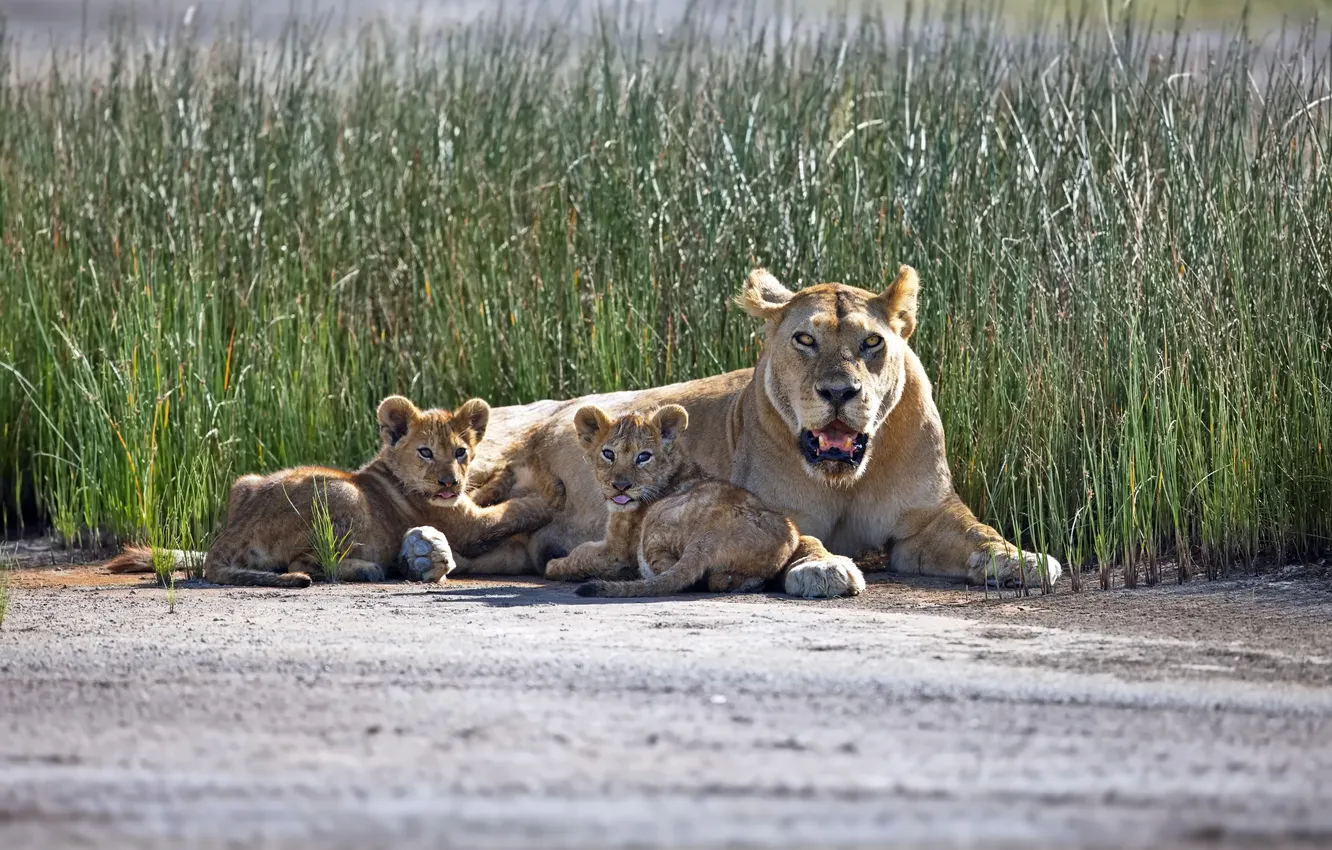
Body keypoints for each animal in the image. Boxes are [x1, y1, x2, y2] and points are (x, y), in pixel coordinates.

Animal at [106, 395, 561, 587]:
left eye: (461, 452)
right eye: (426, 452)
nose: (448, 482)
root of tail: (232, 533)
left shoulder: (465, 504)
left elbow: (490, 492)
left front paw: (503, 473)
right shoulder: (466, 527)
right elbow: (510, 512)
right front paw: (551, 491)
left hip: (245, 482)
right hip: (343, 494)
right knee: (306, 564)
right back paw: (368, 568)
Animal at [543, 404, 799, 598]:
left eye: (643, 457)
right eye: (608, 454)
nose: (621, 486)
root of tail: (708, 538)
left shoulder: (617, 551)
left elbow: (580, 556)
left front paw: (553, 565)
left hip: (656, 520)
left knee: (669, 574)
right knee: (717, 581)